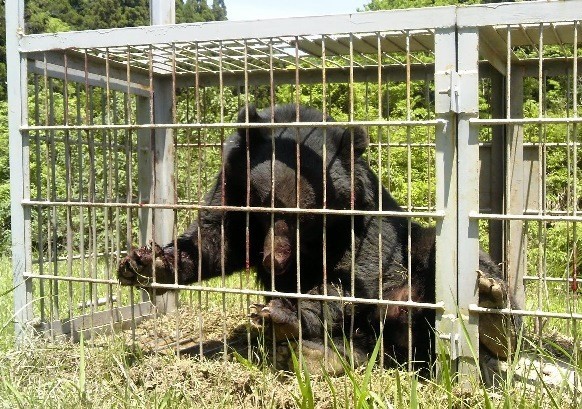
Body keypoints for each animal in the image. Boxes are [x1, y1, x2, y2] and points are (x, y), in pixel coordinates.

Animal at [118, 104, 520, 372]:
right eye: (265, 205)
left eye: (308, 218)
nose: (274, 261)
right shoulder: (232, 187)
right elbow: (216, 239)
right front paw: (144, 262)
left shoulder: (359, 218)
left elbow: (350, 275)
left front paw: (282, 310)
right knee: (356, 346)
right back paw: (314, 355)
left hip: (412, 275)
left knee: (439, 256)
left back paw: (492, 313)